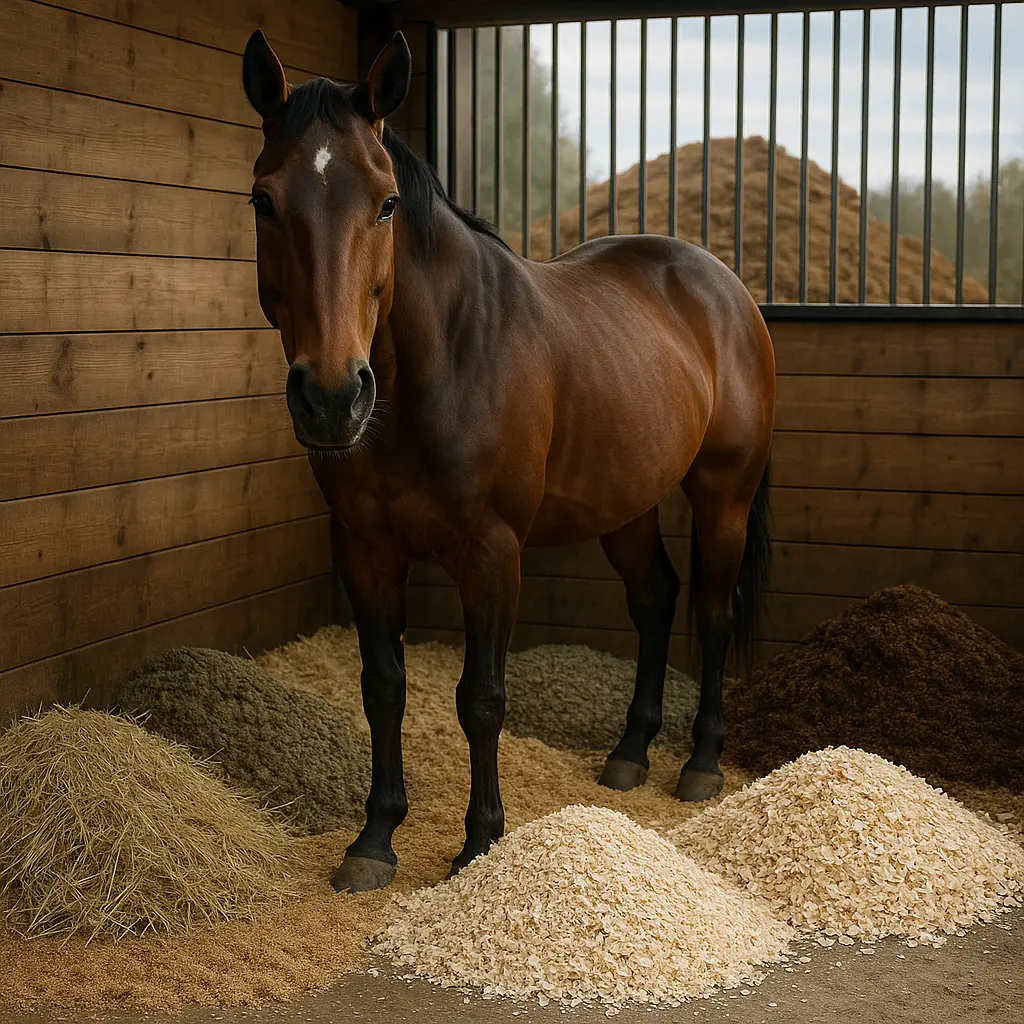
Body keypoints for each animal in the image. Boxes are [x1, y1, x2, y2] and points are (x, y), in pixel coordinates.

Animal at [242, 29, 775, 894]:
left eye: (385, 203)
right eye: (264, 201)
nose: (331, 396)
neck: (438, 365)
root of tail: (725, 287)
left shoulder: (492, 554)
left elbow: (482, 698)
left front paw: (481, 844)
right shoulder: (364, 548)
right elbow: (383, 688)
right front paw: (374, 839)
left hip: (723, 495)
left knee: (712, 613)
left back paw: (700, 764)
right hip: (625, 502)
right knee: (655, 600)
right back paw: (630, 752)